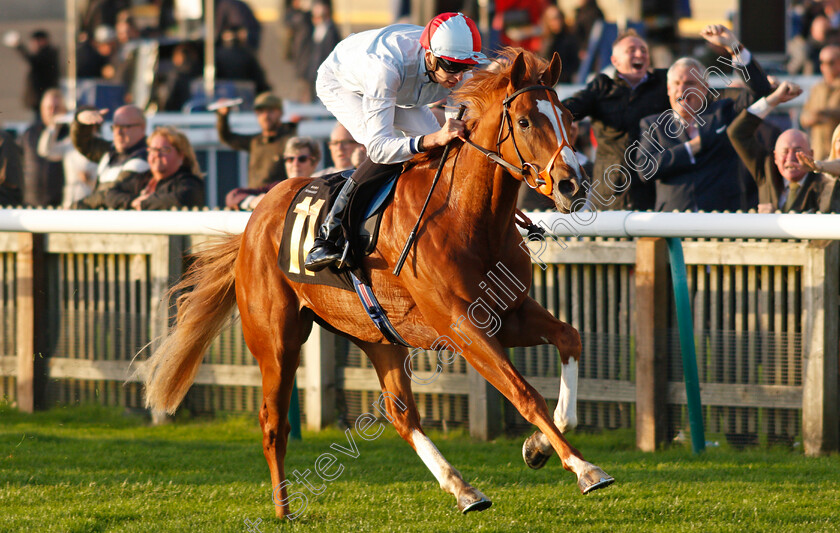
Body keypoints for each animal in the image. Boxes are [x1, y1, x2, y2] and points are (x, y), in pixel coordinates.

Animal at [141, 48, 612, 516]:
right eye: (526, 121)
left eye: (568, 116)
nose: (572, 185)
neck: (466, 218)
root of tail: (253, 222)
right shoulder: (461, 325)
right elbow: (524, 392)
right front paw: (585, 468)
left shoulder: (506, 314)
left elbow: (569, 339)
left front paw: (537, 447)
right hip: (277, 340)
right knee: (273, 421)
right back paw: (284, 509)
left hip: (376, 333)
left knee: (401, 414)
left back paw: (463, 489)